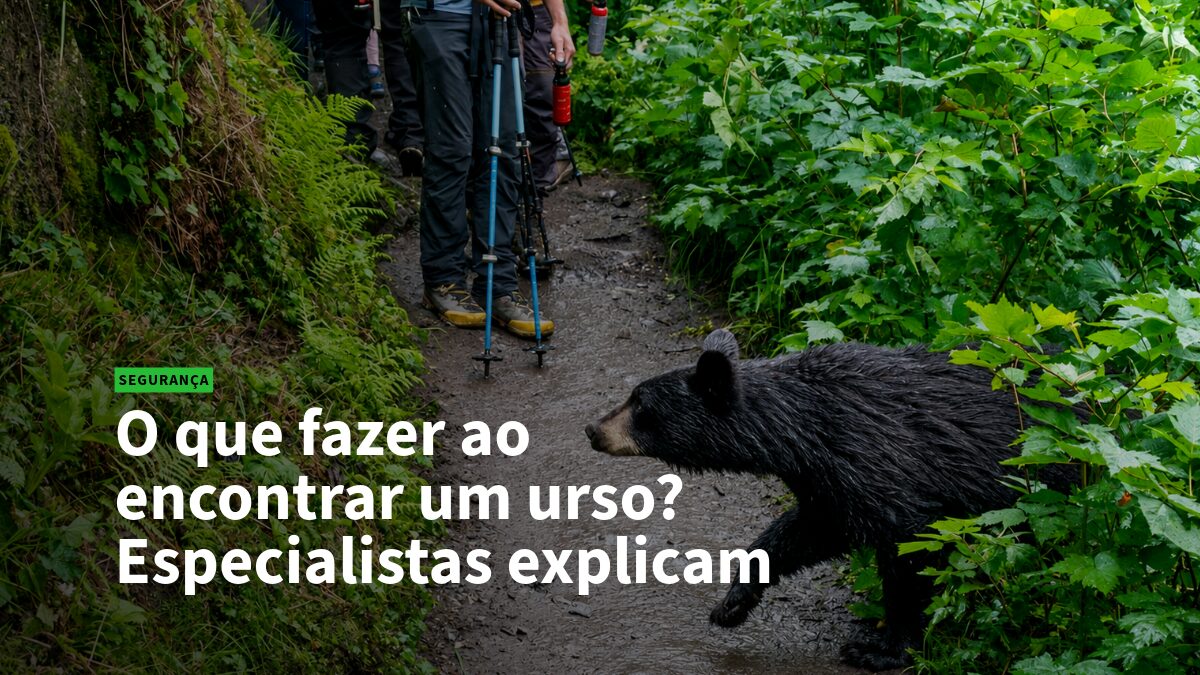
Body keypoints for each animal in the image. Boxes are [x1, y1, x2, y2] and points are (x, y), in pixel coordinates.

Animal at [585, 328, 1074, 671]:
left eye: (640, 403)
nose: (592, 429)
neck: (810, 428)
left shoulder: (881, 461)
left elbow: (909, 552)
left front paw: (882, 649)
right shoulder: (828, 481)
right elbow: (806, 531)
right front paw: (733, 603)